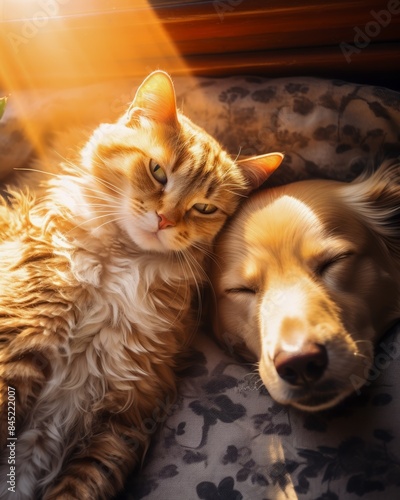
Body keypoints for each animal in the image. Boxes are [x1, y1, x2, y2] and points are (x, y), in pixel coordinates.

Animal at [0, 71, 284, 500]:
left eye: (204, 208)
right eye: (158, 172)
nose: (164, 220)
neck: (122, 266)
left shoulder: (126, 417)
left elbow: (80, 486)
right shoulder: (19, 343)